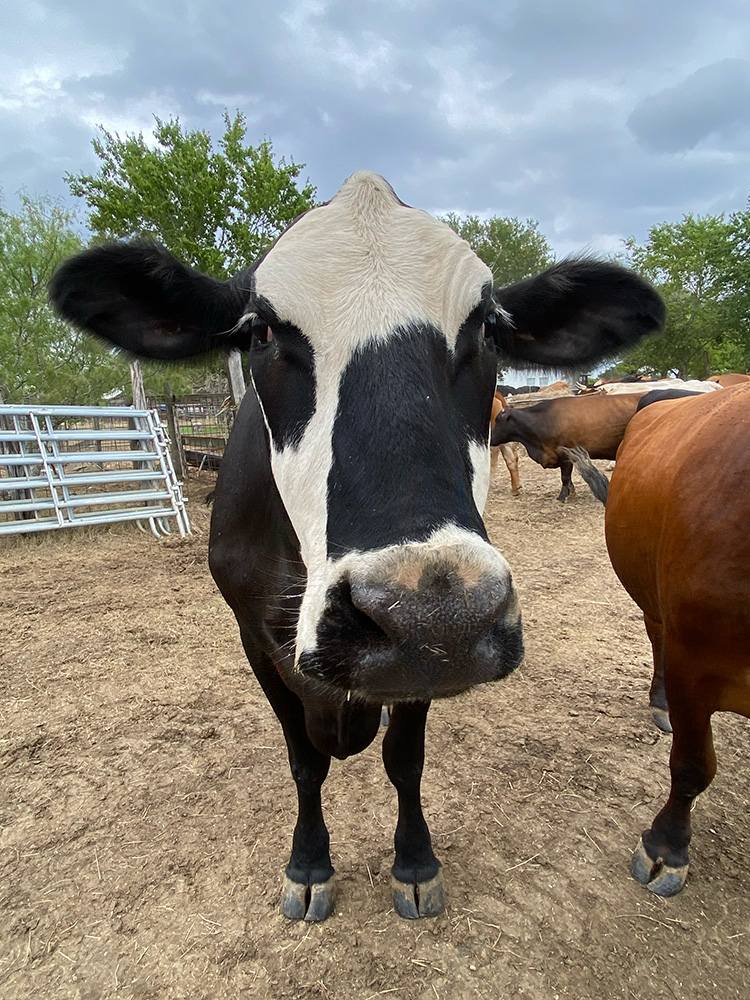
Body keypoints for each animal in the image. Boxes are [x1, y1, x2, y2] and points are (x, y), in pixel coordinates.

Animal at [490, 392, 649, 502]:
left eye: (498, 420)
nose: (490, 438)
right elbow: (568, 477)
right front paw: (571, 492)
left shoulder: (566, 455)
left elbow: (565, 477)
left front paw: (562, 496)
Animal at [605, 383, 750, 896]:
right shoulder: (695, 666)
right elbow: (691, 766)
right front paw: (666, 846)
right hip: (653, 601)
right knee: (657, 640)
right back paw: (660, 700)